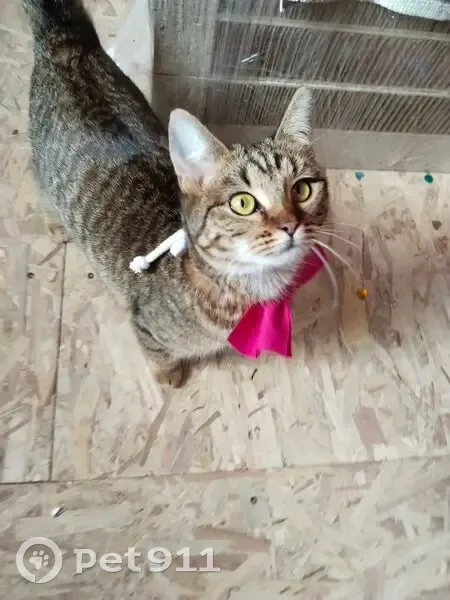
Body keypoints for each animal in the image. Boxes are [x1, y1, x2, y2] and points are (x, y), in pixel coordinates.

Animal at [22, 0, 329, 387]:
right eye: (243, 203)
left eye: (302, 189)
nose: (289, 224)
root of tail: (66, 42)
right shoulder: (144, 325)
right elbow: (158, 354)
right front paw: (168, 375)